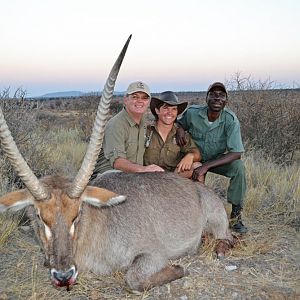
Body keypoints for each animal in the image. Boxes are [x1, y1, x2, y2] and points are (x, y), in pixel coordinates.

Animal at [0, 35, 232, 290]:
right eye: (40, 217)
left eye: (76, 214)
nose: (63, 275)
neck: (100, 221)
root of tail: (202, 190)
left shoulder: (154, 254)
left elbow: (134, 278)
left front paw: (180, 269)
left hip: (219, 225)